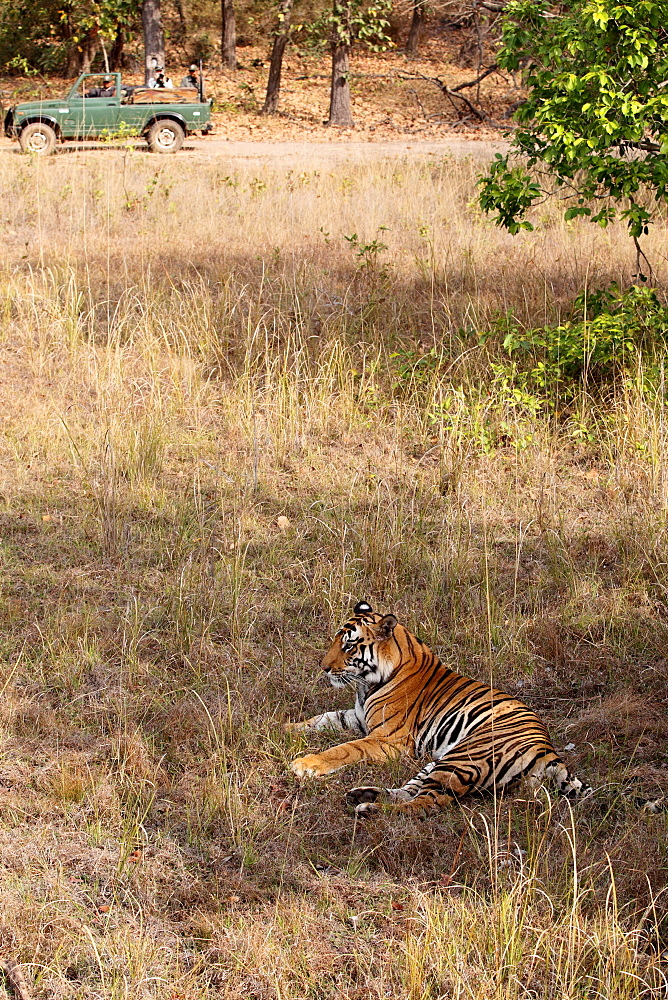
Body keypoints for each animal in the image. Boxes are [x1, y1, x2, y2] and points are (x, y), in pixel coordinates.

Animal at [284, 600, 592, 812]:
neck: (365, 684)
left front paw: (305, 764)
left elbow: (343, 749)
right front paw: (283, 727)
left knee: (427, 803)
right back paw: (364, 795)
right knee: (411, 791)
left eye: (348, 646)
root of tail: (549, 751)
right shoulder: (358, 718)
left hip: (463, 758)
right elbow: (321, 719)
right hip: (439, 761)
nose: (323, 667)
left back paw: (370, 809)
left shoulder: (388, 739)